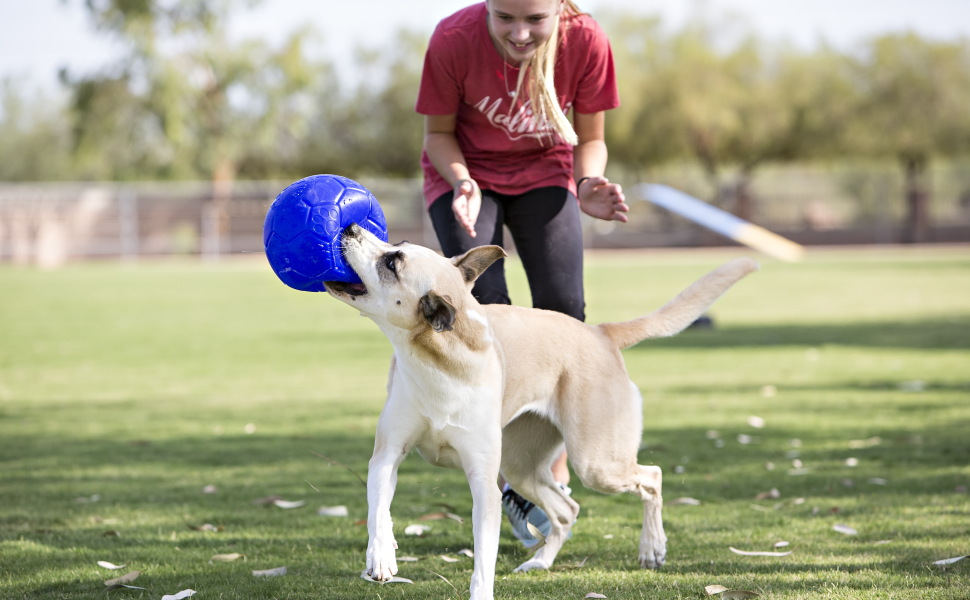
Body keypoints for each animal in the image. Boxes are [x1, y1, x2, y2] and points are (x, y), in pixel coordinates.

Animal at [326, 225, 756, 600]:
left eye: (392, 261)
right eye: (396, 245)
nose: (349, 227)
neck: (438, 359)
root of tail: (600, 333)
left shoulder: (484, 484)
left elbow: (483, 562)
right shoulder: (387, 456)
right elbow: (379, 510)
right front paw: (381, 556)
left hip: (595, 461)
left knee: (651, 476)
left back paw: (652, 547)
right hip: (521, 467)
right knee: (568, 510)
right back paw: (541, 562)